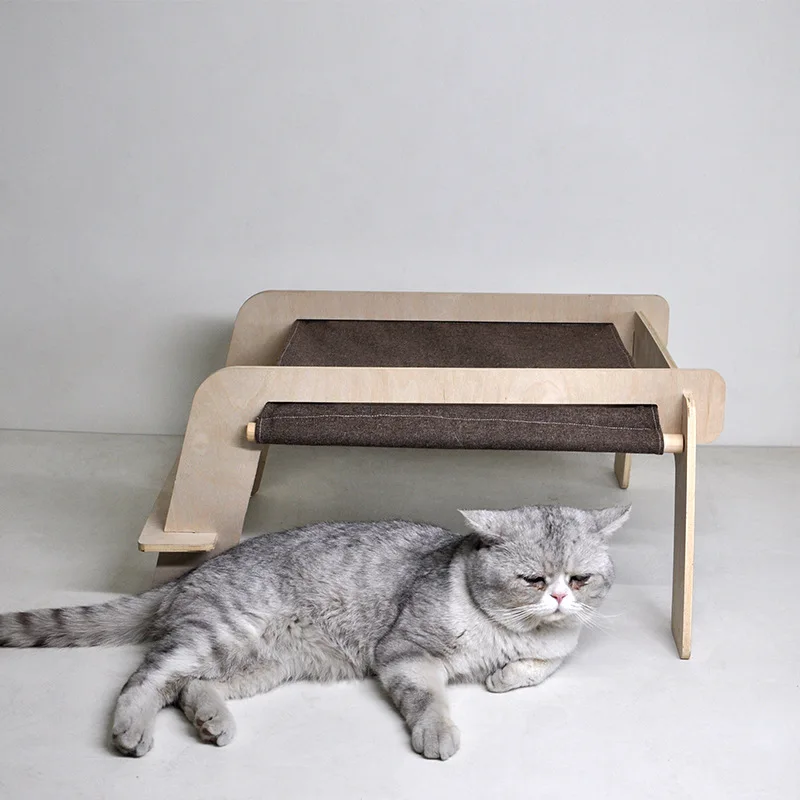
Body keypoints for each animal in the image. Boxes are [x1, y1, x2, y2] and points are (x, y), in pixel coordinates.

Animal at [0, 504, 629, 760]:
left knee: (189, 689)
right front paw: (438, 733)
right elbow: (430, 700)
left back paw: (211, 722)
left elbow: (541, 667)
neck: (510, 631)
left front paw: (504, 676)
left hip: (258, 666)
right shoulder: (404, 653)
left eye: (579, 578)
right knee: (144, 681)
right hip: (216, 637)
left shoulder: (559, 648)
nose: (560, 597)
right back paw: (130, 733)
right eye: (532, 579)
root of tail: (189, 574)